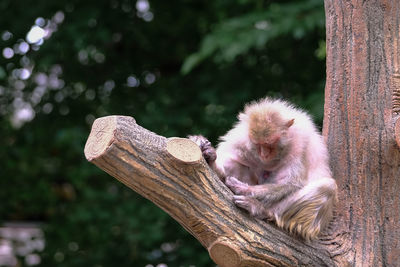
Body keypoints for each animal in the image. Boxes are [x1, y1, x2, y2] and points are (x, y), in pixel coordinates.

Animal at [189, 97, 336, 242]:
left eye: (269, 144)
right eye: (258, 144)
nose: (264, 154)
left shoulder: (299, 144)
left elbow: (291, 182)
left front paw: (244, 189)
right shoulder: (240, 138)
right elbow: (227, 161)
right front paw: (210, 159)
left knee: (327, 186)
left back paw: (263, 210)